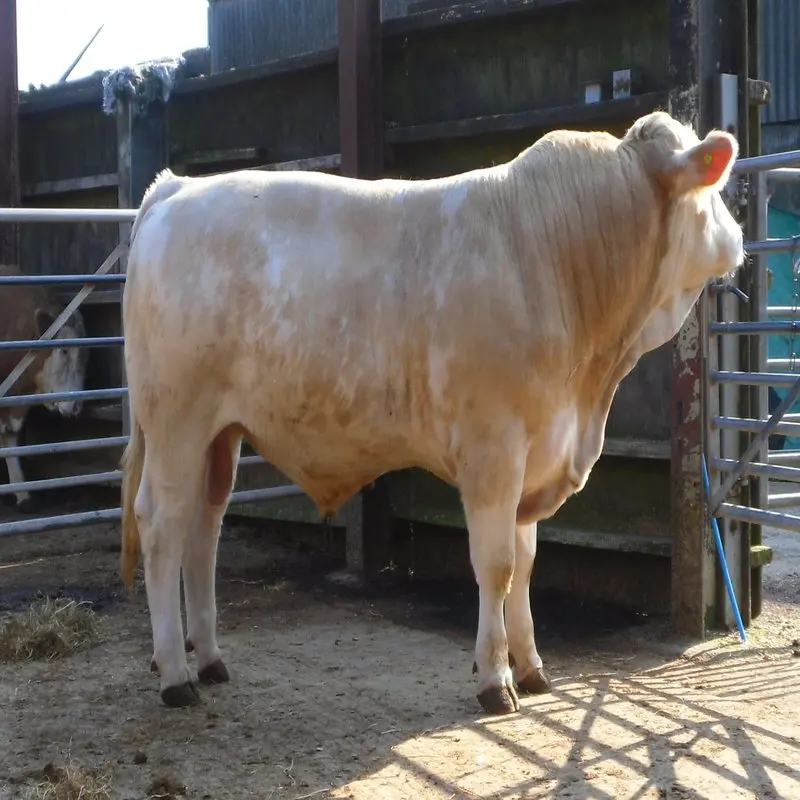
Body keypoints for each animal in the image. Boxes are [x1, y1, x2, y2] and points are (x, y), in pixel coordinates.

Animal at [119, 110, 744, 714]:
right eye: (713, 191)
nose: (739, 236)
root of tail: (177, 186)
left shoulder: (537, 449)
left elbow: (526, 560)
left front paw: (532, 668)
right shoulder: (494, 448)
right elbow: (497, 564)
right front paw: (495, 680)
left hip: (219, 434)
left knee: (204, 528)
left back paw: (209, 658)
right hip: (176, 420)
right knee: (162, 525)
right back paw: (175, 675)